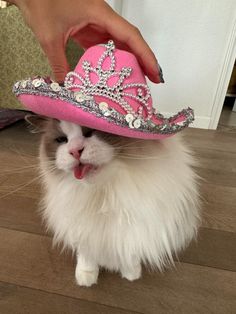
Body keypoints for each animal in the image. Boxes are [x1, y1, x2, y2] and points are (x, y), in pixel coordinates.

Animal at [26, 116, 200, 288]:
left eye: (90, 131)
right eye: (62, 140)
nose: (75, 151)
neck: (105, 194)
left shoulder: (134, 225)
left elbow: (130, 251)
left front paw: (131, 273)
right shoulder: (81, 225)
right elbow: (87, 255)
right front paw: (86, 276)